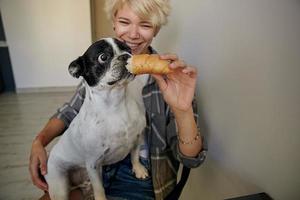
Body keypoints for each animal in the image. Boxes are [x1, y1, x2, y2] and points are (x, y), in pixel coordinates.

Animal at [46, 38, 149, 200]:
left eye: (129, 50)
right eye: (103, 57)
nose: (126, 56)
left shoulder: (137, 139)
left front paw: (138, 169)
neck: (116, 103)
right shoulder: (93, 164)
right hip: (60, 185)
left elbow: (135, 156)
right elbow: (99, 188)